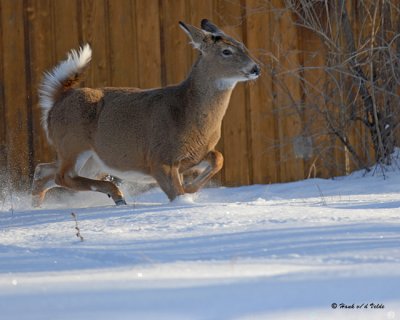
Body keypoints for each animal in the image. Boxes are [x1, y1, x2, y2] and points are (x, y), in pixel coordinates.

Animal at [31, 19, 260, 208]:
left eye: (243, 45)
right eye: (226, 51)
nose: (256, 68)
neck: (186, 111)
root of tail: (58, 99)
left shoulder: (192, 156)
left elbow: (218, 158)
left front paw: (191, 190)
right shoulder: (158, 158)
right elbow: (176, 193)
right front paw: (185, 201)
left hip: (93, 159)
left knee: (45, 171)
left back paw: (37, 206)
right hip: (74, 142)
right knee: (62, 176)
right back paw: (117, 195)